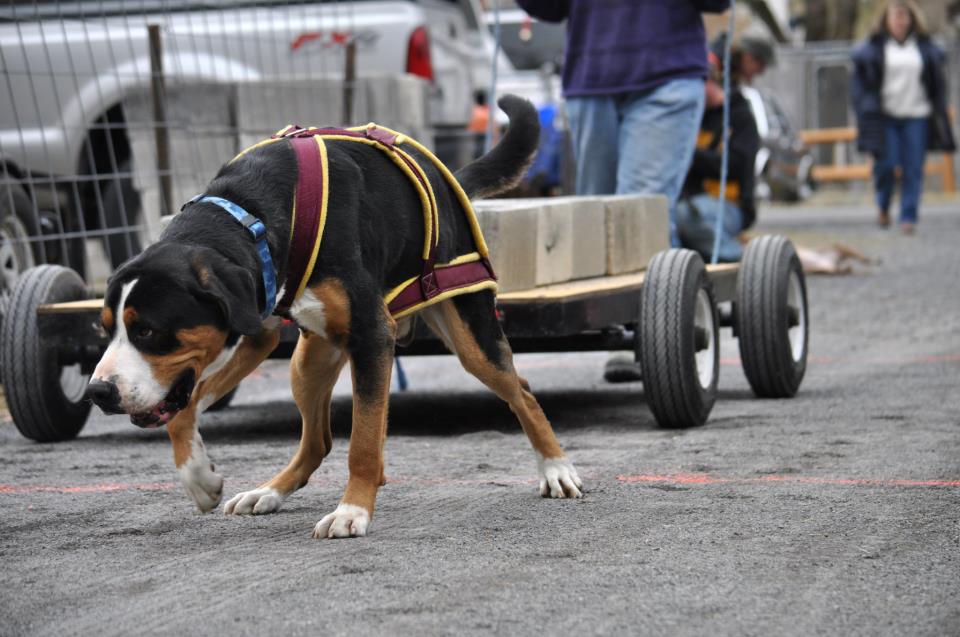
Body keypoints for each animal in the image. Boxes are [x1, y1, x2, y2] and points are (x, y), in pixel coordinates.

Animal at [88, 95, 584, 536]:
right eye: (106, 331)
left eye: (148, 331)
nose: (97, 392)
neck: (254, 213)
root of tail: (448, 183)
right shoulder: (255, 332)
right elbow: (184, 408)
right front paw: (199, 479)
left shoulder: (371, 335)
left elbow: (362, 442)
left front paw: (352, 512)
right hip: (308, 361)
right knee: (317, 441)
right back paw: (268, 491)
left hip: (470, 337)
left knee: (521, 392)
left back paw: (555, 468)